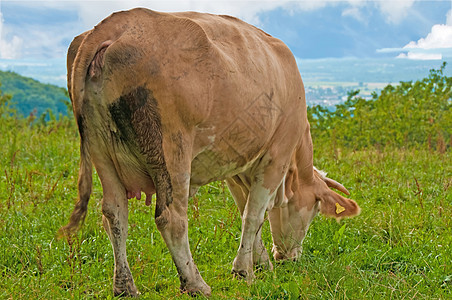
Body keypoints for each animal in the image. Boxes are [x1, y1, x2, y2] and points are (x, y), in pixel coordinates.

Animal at [61, 7, 360, 298]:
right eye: (314, 211)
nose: (290, 258)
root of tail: (113, 25)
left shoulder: (235, 165)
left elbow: (247, 211)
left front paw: (261, 262)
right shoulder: (277, 156)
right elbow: (254, 215)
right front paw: (245, 271)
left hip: (101, 150)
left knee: (114, 214)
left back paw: (125, 287)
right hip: (172, 152)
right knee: (171, 219)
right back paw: (195, 284)